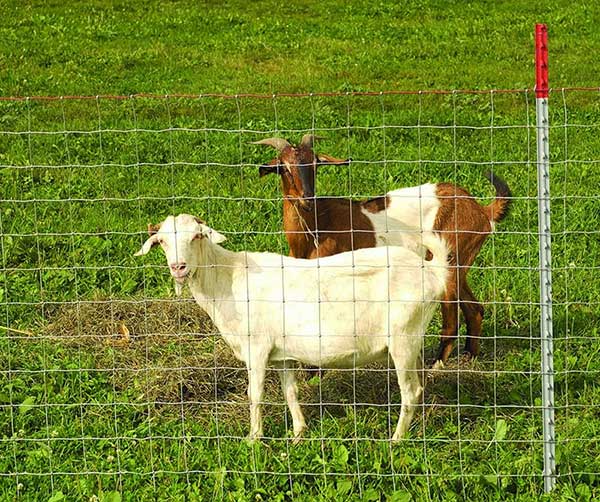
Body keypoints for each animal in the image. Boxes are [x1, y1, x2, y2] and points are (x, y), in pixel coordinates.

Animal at [135, 214, 446, 442]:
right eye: (162, 241)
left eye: (197, 236)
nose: (179, 267)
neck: (227, 278)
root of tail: (432, 272)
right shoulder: (282, 354)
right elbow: (290, 392)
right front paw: (298, 433)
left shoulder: (257, 347)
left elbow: (255, 394)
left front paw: (254, 439)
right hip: (413, 341)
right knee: (419, 385)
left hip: (402, 339)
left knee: (410, 391)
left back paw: (396, 440)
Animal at [253, 134, 510, 364]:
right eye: (284, 168)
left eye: (316, 164)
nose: (307, 198)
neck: (316, 228)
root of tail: (481, 211)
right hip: (461, 263)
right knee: (474, 309)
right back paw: (470, 357)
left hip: (450, 261)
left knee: (451, 319)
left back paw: (436, 365)